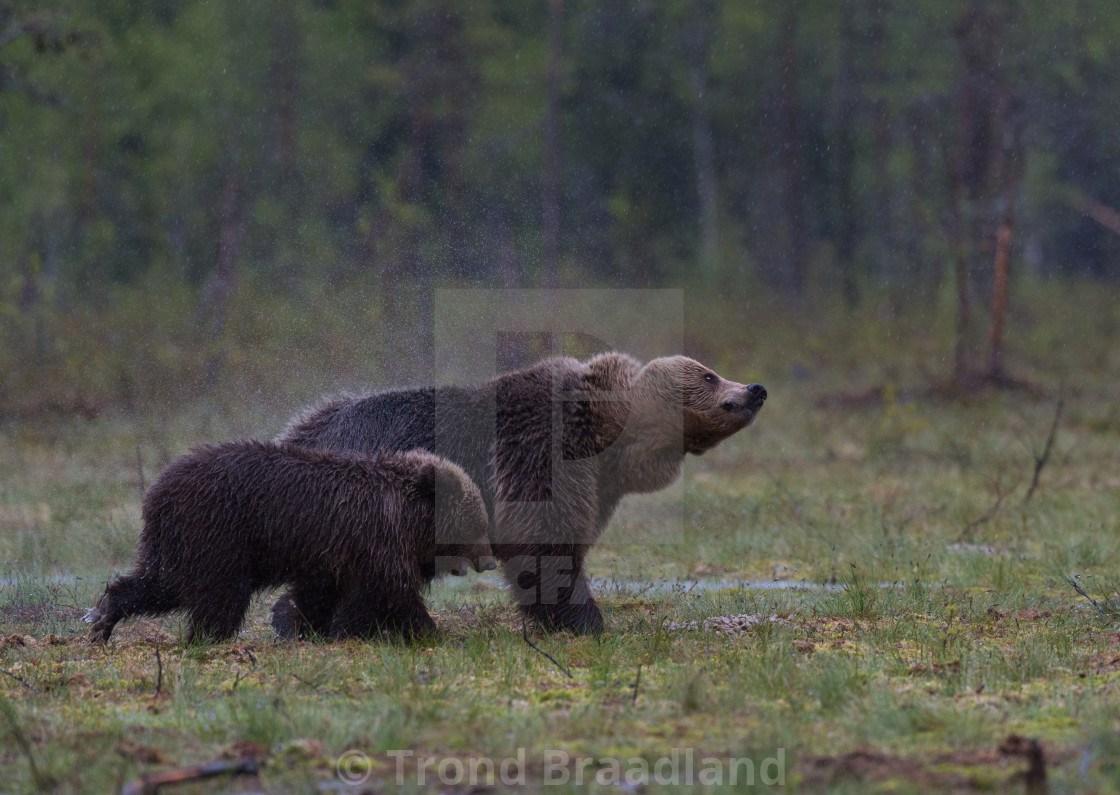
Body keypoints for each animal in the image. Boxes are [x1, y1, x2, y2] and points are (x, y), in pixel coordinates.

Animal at [94, 445, 497, 644]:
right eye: (476, 523)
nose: (491, 561)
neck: (408, 518)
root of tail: (156, 494)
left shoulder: (334, 555)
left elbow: (319, 595)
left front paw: (299, 624)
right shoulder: (374, 543)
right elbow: (391, 593)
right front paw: (429, 630)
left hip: (177, 545)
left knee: (159, 584)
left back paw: (102, 619)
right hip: (216, 534)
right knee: (218, 596)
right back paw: (206, 638)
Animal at [273, 356, 761, 636]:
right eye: (709, 375)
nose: (755, 390)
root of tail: (298, 430)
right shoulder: (538, 450)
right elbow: (542, 541)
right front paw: (584, 619)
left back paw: (301, 618)